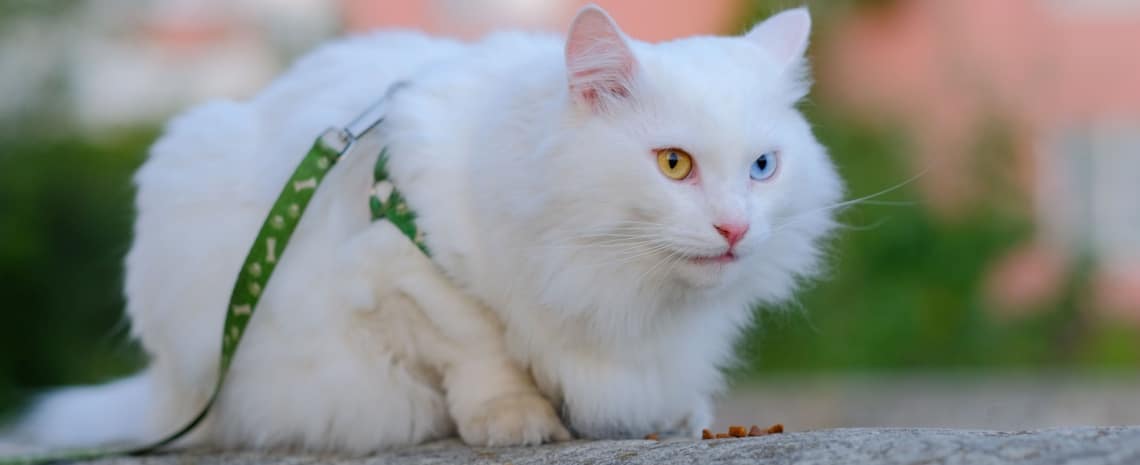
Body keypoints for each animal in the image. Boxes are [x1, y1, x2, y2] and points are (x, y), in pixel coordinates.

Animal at [13, 3, 843, 453]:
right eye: (674, 164)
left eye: (763, 167)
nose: (734, 228)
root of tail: (162, 397)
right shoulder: (401, 263)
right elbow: (478, 346)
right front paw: (516, 417)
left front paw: (670, 412)